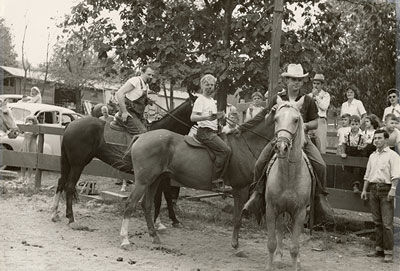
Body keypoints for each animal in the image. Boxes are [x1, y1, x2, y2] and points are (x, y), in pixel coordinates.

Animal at [50, 94, 197, 224]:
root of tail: (70, 124)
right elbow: (160, 197)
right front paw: (164, 221)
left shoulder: (162, 176)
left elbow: (164, 196)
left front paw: (169, 220)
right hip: (78, 164)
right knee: (69, 186)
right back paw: (70, 217)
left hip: (67, 162)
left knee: (61, 182)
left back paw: (55, 213)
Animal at [119, 111, 276, 250]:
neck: (245, 145)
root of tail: (141, 136)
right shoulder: (241, 188)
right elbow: (237, 217)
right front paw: (235, 245)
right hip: (143, 181)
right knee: (130, 204)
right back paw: (125, 240)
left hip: (155, 180)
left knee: (146, 205)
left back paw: (154, 236)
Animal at [266, 96, 312, 270]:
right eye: (276, 119)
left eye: (296, 120)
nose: (281, 146)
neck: (288, 177)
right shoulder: (271, 209)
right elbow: (271, 243)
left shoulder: (300, 213)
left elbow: (294, 247)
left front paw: (295, 263)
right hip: (281, 210)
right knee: (280, 228)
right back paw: (279, 258)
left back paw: (297, 261)